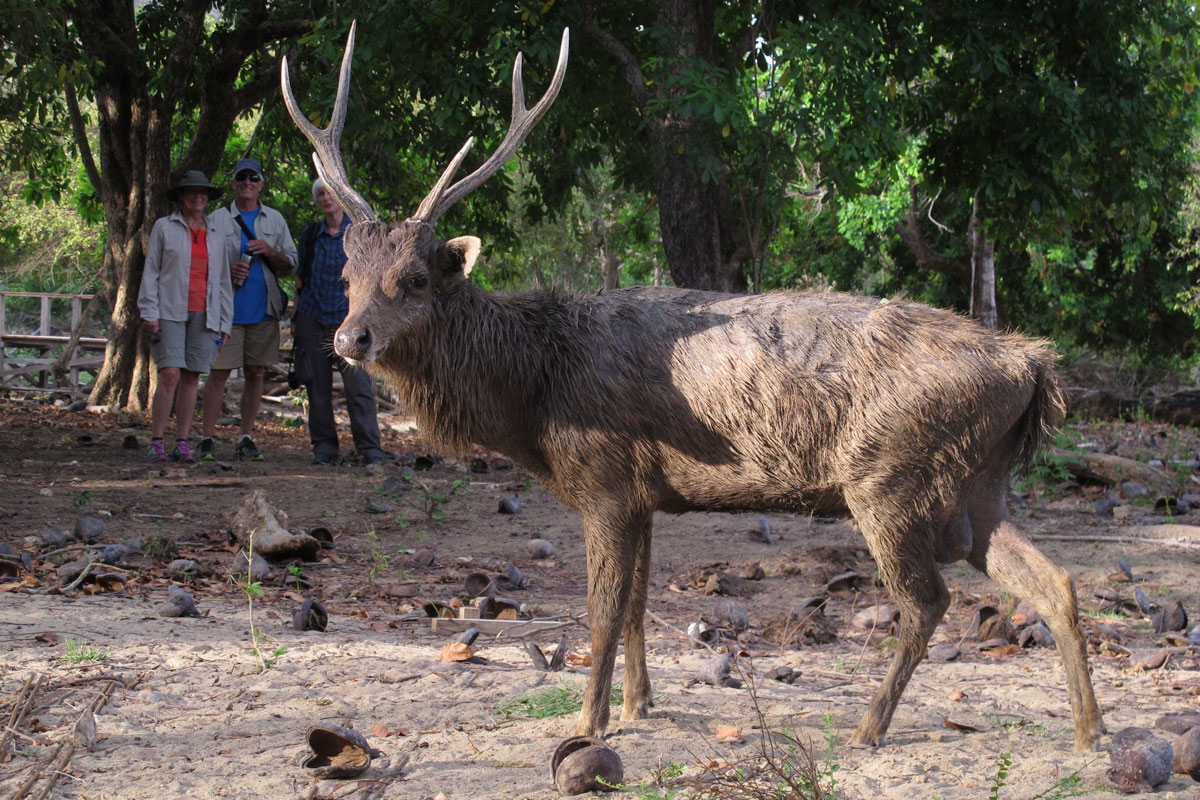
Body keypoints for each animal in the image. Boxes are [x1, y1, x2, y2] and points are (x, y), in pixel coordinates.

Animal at [280, 25, 1104, 753]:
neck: (534, 397)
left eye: (416, 279)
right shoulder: (646, 494)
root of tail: (1032, 366)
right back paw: (1089, 734)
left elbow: (602, 610)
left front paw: (588, 723)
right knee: (1056, 582)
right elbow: (640, 604)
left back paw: (868, 730)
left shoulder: (606, 479)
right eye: (348, 277)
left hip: (890, 477)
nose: (349, 339)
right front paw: (640, 706)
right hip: (978, 485)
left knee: (927, 601)